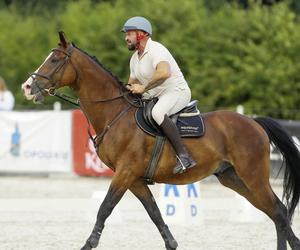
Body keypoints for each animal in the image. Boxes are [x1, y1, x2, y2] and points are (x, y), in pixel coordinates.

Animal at [21, 32, 300, 249]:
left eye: (55, 60)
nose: (27, 87)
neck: (115, 113)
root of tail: (255, 123)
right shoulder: (133, 178)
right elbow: (154, 212)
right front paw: (172, 243)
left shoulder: (124, 172)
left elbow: (105, 208)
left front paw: (88, 244)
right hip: (233, 177)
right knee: (275, 213)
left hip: (253, 176)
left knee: (278, 211)